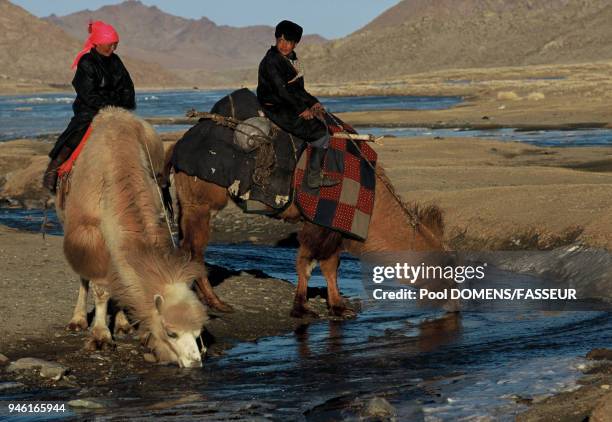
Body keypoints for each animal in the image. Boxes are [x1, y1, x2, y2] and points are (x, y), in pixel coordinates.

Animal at [58, 107, 210, 368]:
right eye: (171, 332)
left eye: (198, 332)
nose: (194, 363)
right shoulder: (93, 237)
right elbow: (100, 288)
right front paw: (100, 336)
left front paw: (123, 325)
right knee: (82, 276)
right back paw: (77, 320)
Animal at [165, 90, 452, 318]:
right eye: (448, 274)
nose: (454, 307)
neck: (372, 201)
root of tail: (177, 145)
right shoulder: (320, 221)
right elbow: (307, 262)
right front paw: (302, 307)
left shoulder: (334, 226)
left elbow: (330, 265)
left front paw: (338, 306)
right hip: (201, 203)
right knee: (194, 250)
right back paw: (217, 303)